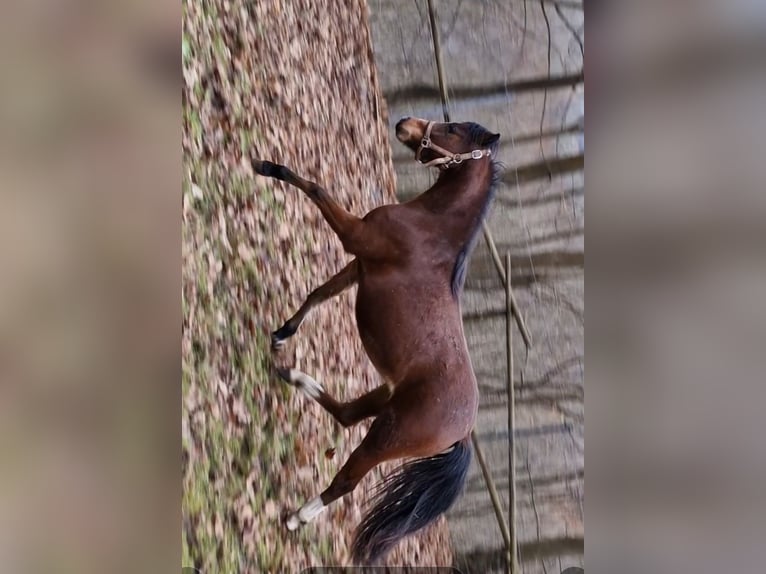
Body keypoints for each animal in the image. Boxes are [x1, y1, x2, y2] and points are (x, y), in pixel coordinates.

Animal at [255, 117, 500, 568]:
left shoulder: (355, 236)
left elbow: (314, 187)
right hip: (384, 401)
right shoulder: (359, 265)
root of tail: (463, 430)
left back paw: (296, 518)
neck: (429, 230)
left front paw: (266, 167)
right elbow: (318, 293)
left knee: (346, 480)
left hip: (386, 435)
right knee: (346, 415)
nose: (406, 124)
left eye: (453, 129)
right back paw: (291, 375)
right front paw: (282, 335)